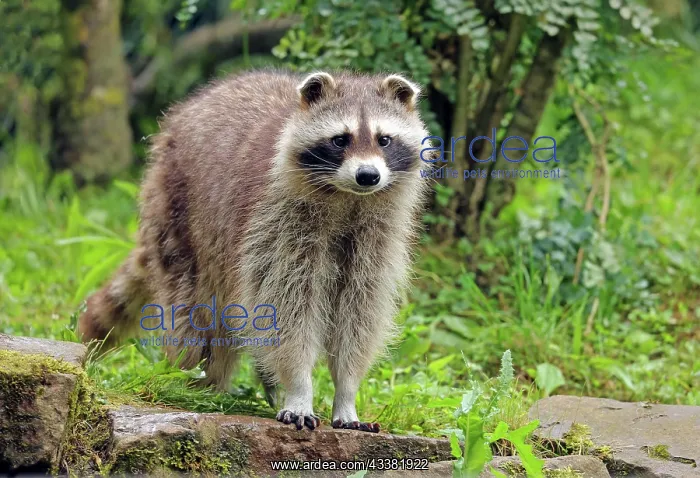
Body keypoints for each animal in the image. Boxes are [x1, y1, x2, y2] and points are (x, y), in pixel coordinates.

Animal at [78, 70, 431, 432]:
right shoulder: (278, 224)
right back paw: (194, 378)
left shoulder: (377, 238)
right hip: (177, 207)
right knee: (194, 307)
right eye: (340, 140)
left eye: (384, 139)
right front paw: (299, 389)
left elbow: (360, 313)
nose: (367, 176)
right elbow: (286, 310)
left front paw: (346, 392)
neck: (347, 198)